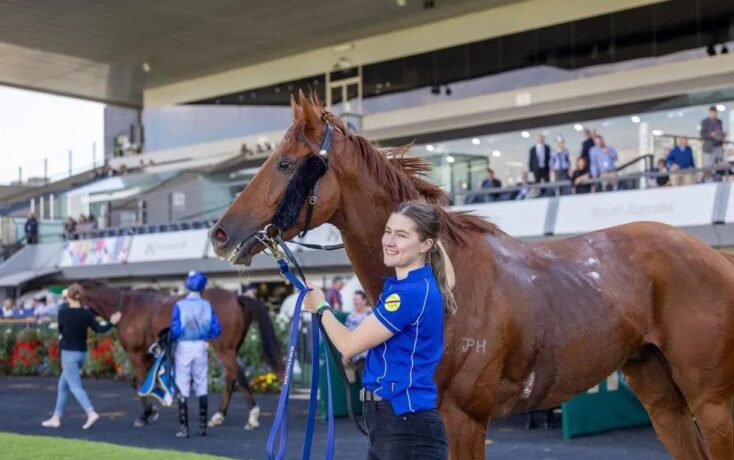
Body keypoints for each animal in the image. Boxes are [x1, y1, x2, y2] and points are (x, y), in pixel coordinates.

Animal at [79, 281, 283, 430]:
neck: (126, 307)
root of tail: (237, 297)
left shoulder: (135, 353)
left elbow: (140, 383)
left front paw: (146, 415)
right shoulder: (148, 354)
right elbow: (143, 383)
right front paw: (155, 407)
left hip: (224, 349)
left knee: (239, 376)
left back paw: (252, 417)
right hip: (232, 348)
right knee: (230, 378)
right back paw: (218, 416)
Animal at [207, 92, 734, 459]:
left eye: (285, 164)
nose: (219, 233)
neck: (451, 280)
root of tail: (715, 257)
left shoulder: (464, 419)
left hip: (711, 401)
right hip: (660, 392)